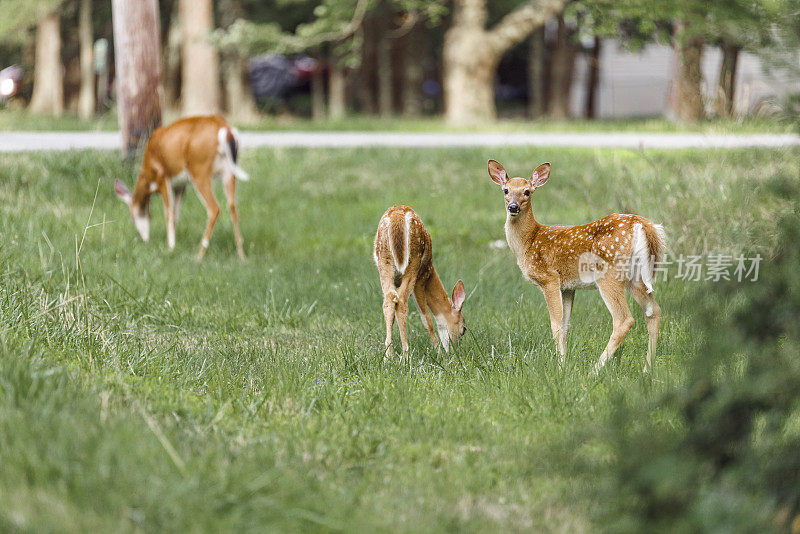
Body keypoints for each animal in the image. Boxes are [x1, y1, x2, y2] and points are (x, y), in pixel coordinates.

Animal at [113, 115, 247, 262]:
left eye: (133, 216)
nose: (144, 239)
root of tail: (225, 130)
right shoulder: (180, 185)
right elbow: (176, 213)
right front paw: (174, 244)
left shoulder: (163, 177)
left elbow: (168, 213)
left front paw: (170, 247)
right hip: (228, 172)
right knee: (233, 207)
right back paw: (242, 256)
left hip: (199, 170)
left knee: (214, 208)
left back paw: (199, 255)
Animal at [490, 161, 664, 374]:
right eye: (506, 190)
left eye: (527, 191)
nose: (513, 207)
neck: (529, 241)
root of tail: (643, 226)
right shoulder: (568, 286)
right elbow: (566, 325)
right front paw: (564, 363)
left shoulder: (549, 278)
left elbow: (555, 324)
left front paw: (559, 367)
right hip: (635, 276)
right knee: (653, 311)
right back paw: (648, 368)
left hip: (609, 273)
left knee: (624, 319)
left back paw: (594, 370)